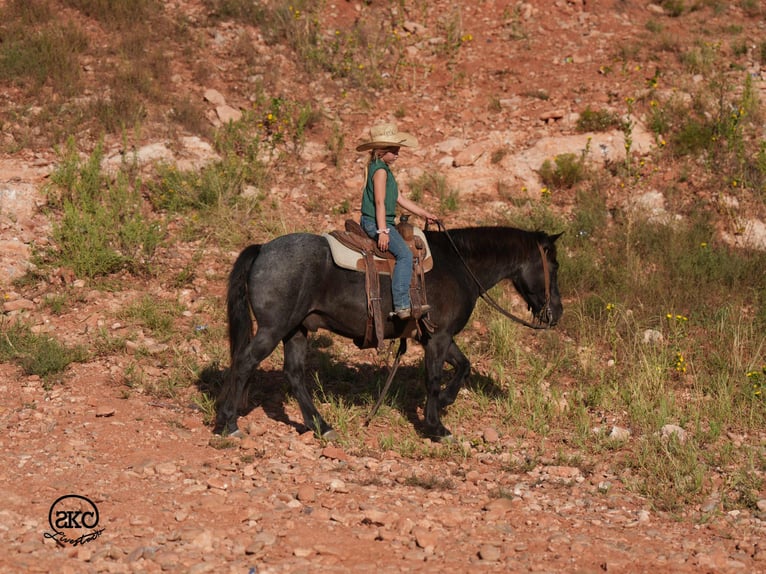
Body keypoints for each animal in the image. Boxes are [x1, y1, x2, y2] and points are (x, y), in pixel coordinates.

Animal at [215, 225, 563, 440]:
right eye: (555, 266)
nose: (556, 313)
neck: (460, 265)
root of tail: (263, 250)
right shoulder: (438, 338)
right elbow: (433, 378)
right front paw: (436, 427)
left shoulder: (436, 336)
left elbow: (464, 366)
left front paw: (445, 401)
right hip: (274, 328)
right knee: (245, 363)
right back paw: (229, 423)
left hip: (297, 329)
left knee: (294, 374)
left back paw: (321, 426)